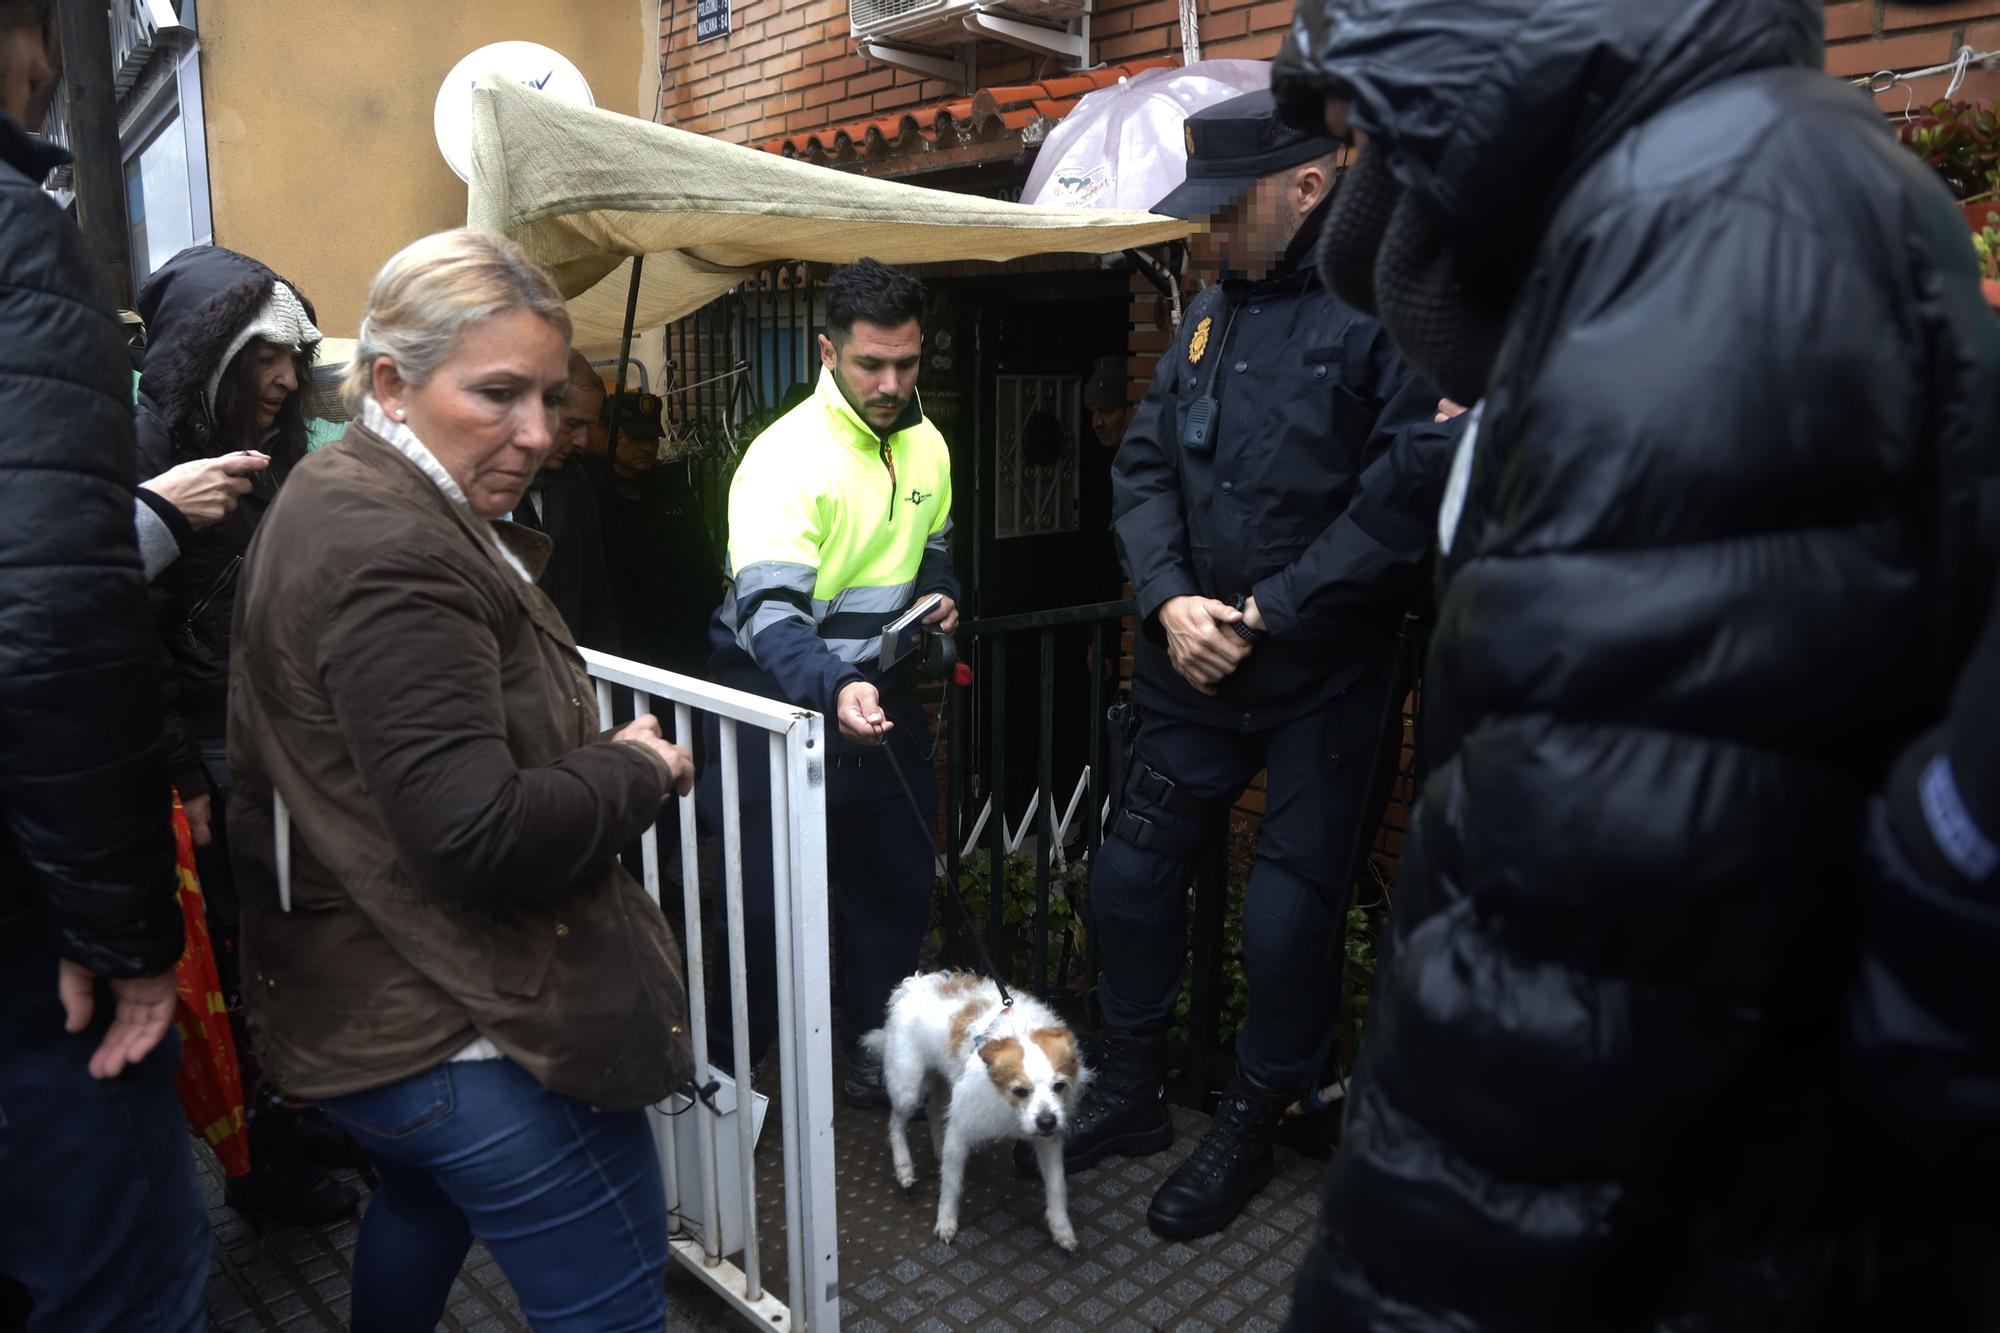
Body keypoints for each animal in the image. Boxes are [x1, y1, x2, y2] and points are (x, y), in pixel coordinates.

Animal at [864, 964, 1096, 1248]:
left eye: (1060, 1086)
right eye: (1019, 1090)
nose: (1047, 1122)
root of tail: (913, 985)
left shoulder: (1048, 1140)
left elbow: (1056, 1185)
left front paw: (1061, 1227)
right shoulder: (961, 1130)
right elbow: (951, 1185)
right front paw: (946, 1221)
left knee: (934, 1114)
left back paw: (937, 1150)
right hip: (908, 1088)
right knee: (896, 1122)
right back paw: (904, 1168)